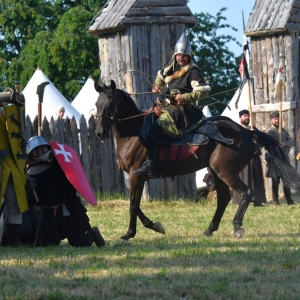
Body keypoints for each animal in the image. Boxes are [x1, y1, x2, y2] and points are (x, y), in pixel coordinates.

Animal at [94, 79, 300, 241]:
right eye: (97, 103)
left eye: (111, 102)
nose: (100, 132)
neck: (134, 132)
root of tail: (246, 132)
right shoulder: (137, 177)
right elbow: (135, 204)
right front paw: (153, 226)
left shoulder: (137, 175)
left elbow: (133, 205)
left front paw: (130, 233)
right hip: (216, 171)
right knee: (224, 198)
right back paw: (210, 229)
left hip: (226, 172)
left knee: (246, 193)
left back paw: (236, 226)